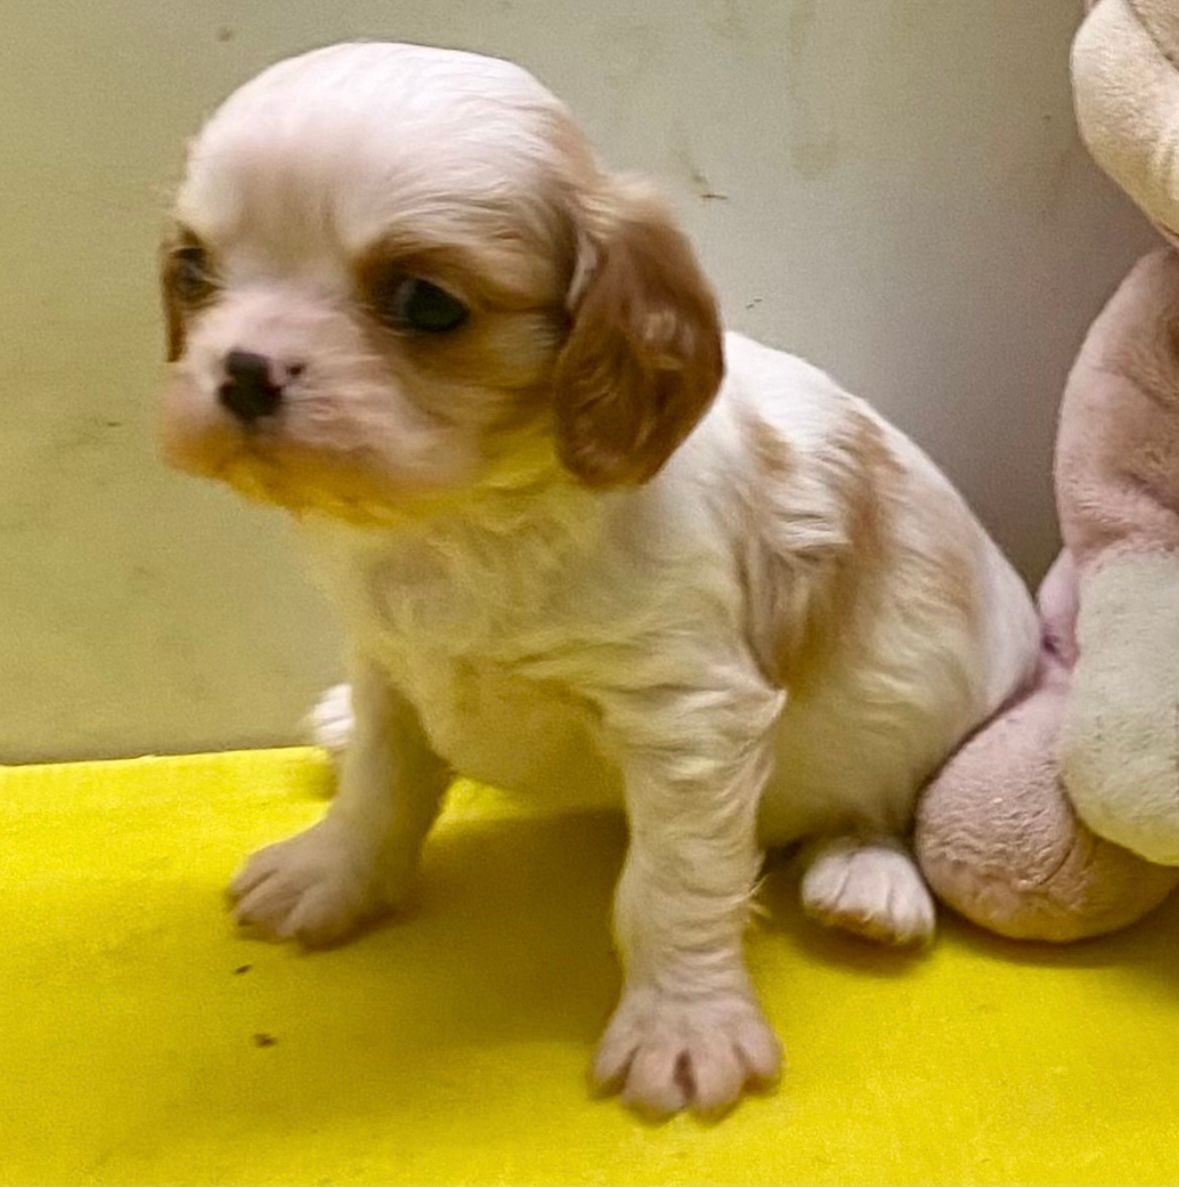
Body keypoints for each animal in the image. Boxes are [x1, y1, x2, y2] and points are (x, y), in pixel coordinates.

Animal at [160, 42, 1039, 1117]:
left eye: (424, 302)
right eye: (193, 271)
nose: (242, 371)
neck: (462, 519)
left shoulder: (686, 715)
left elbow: (668, 888)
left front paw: (684, 1026)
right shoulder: (387, 660)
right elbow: (380, 779)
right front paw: (331, 871)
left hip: (931, 726)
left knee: (890, 808)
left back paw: (867, 882)